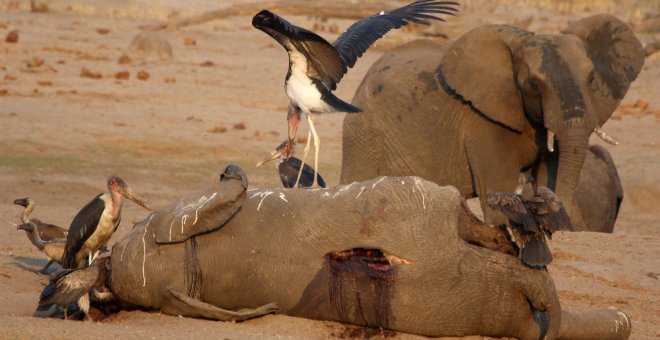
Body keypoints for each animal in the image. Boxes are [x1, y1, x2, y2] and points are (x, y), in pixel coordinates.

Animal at [340, 14, 644, 230]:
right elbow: (500, 186)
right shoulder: (482, 120)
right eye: (534, 84)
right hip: (363, 134)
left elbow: (546, 173)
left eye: (591, 79)